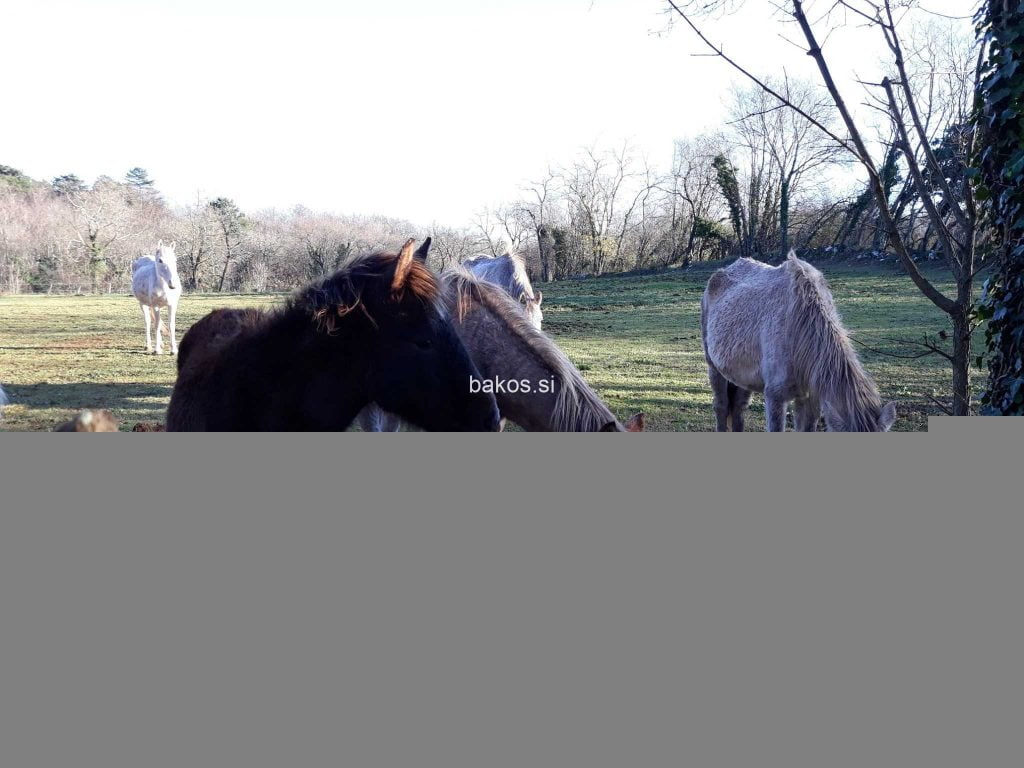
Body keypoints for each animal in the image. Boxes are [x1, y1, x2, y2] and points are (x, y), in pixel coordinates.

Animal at [701, 252, 897, 432]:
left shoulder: (810, 400)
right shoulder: (775, 397)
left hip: (742, 376)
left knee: (738, 409)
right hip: (714, 368)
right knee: (721, 407)